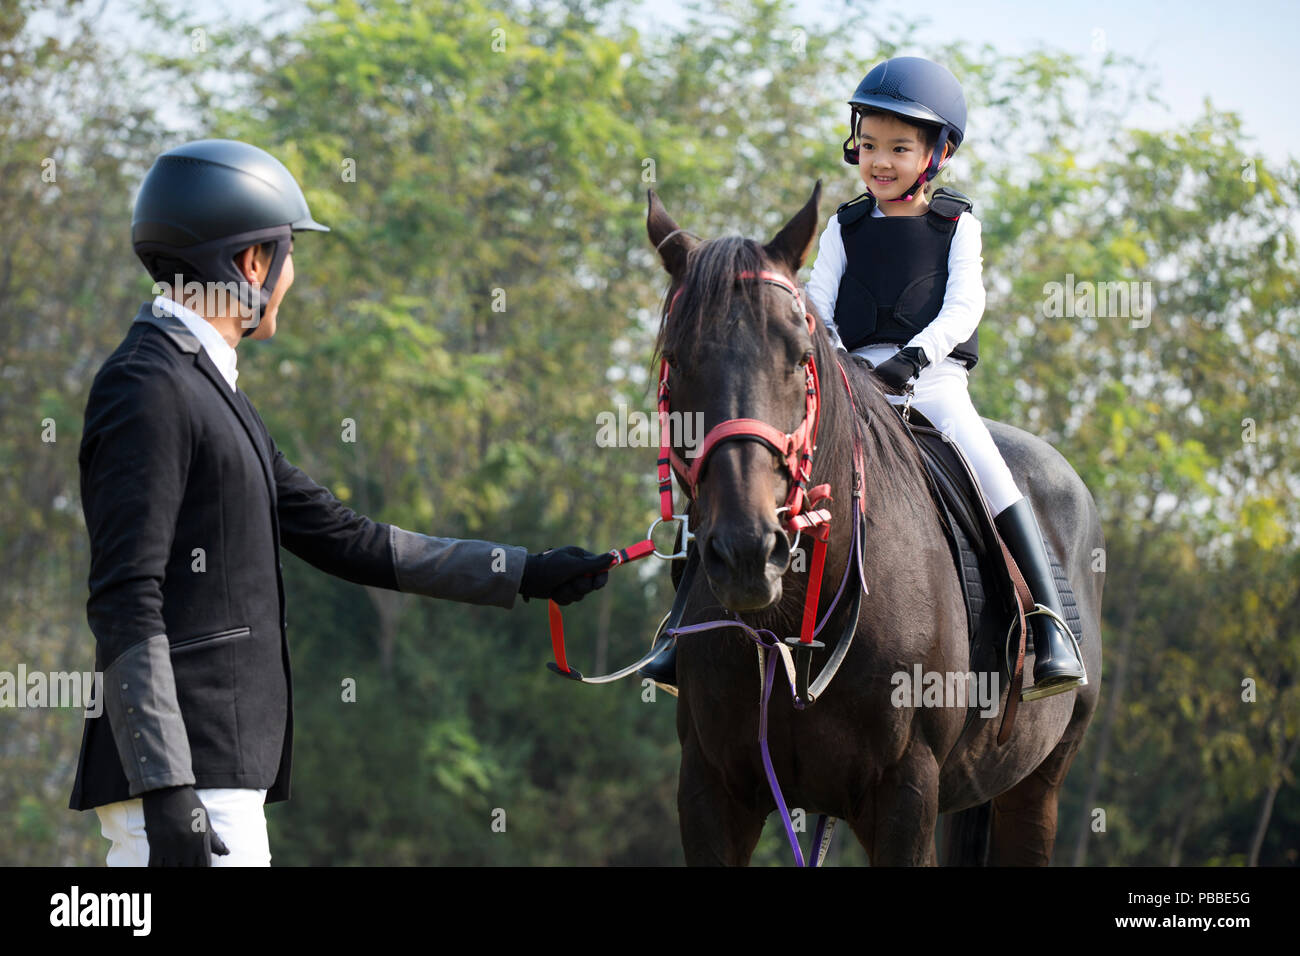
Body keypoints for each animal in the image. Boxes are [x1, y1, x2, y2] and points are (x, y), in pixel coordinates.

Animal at [644, 180, 1102, 868]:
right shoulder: (711, 791)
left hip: (1038, 783)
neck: (793, 628)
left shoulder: (905, 795)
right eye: (677, 357)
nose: (749, 551)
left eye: (799, 356)